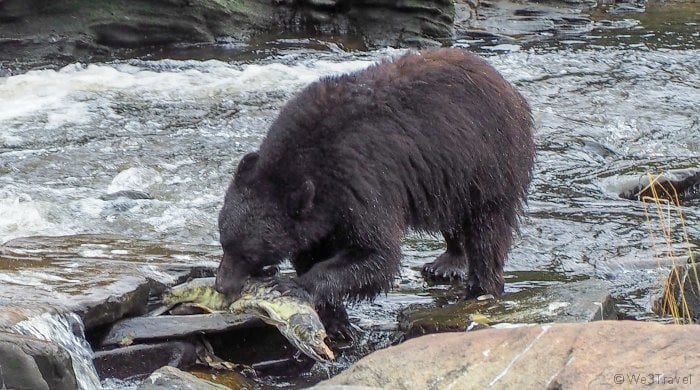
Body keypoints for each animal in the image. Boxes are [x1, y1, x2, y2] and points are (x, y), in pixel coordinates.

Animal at [216, 48, 532, 336]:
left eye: (250, 254)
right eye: (224, 241)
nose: (221, 285)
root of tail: (504, 82)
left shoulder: (362, 183)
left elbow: (376, 254)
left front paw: (292, 285)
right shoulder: (319, 215)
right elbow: (313, 252)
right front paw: (337, 323)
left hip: (488, 160)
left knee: (487, 229)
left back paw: (481, 288)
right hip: (450, 174)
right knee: (453, 215)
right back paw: (448, 262)